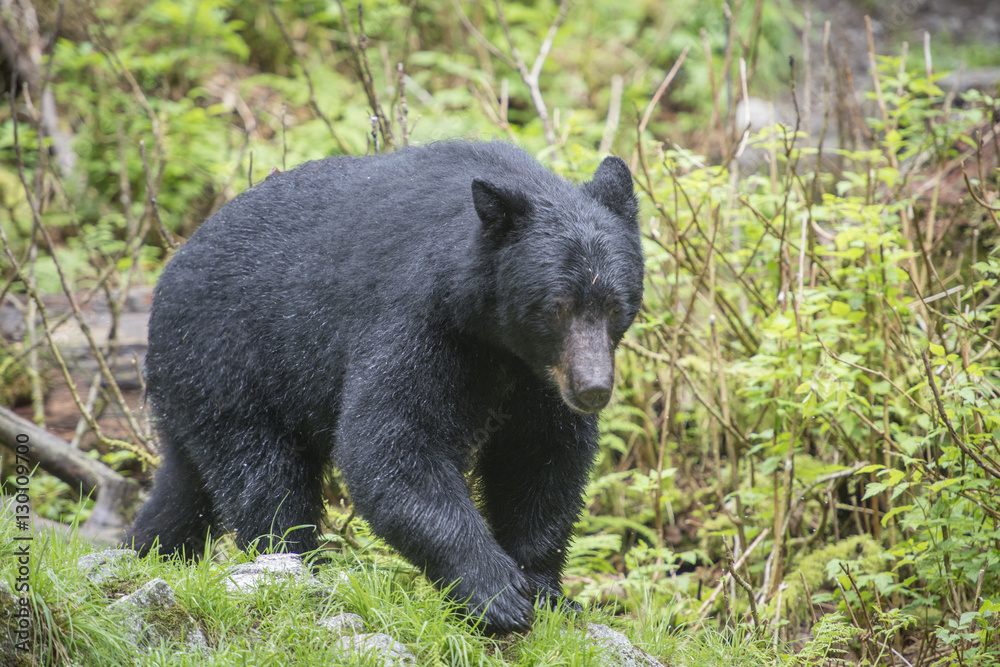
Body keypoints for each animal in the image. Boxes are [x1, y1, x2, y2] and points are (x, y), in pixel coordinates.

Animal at [127, 140, 640, 632]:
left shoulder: (537, 377)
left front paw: (550, 593)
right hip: (231, 369)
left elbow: (540, 459)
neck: (494, 338)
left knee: (184, 488)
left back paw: (149, 549)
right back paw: (299, 566)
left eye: (616, 306)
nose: (593, 388)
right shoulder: (420, 318)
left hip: (198, 393)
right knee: (265, 483)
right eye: (556, 306)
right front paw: (497, 594)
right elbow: (391, 442)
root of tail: (165, 279)